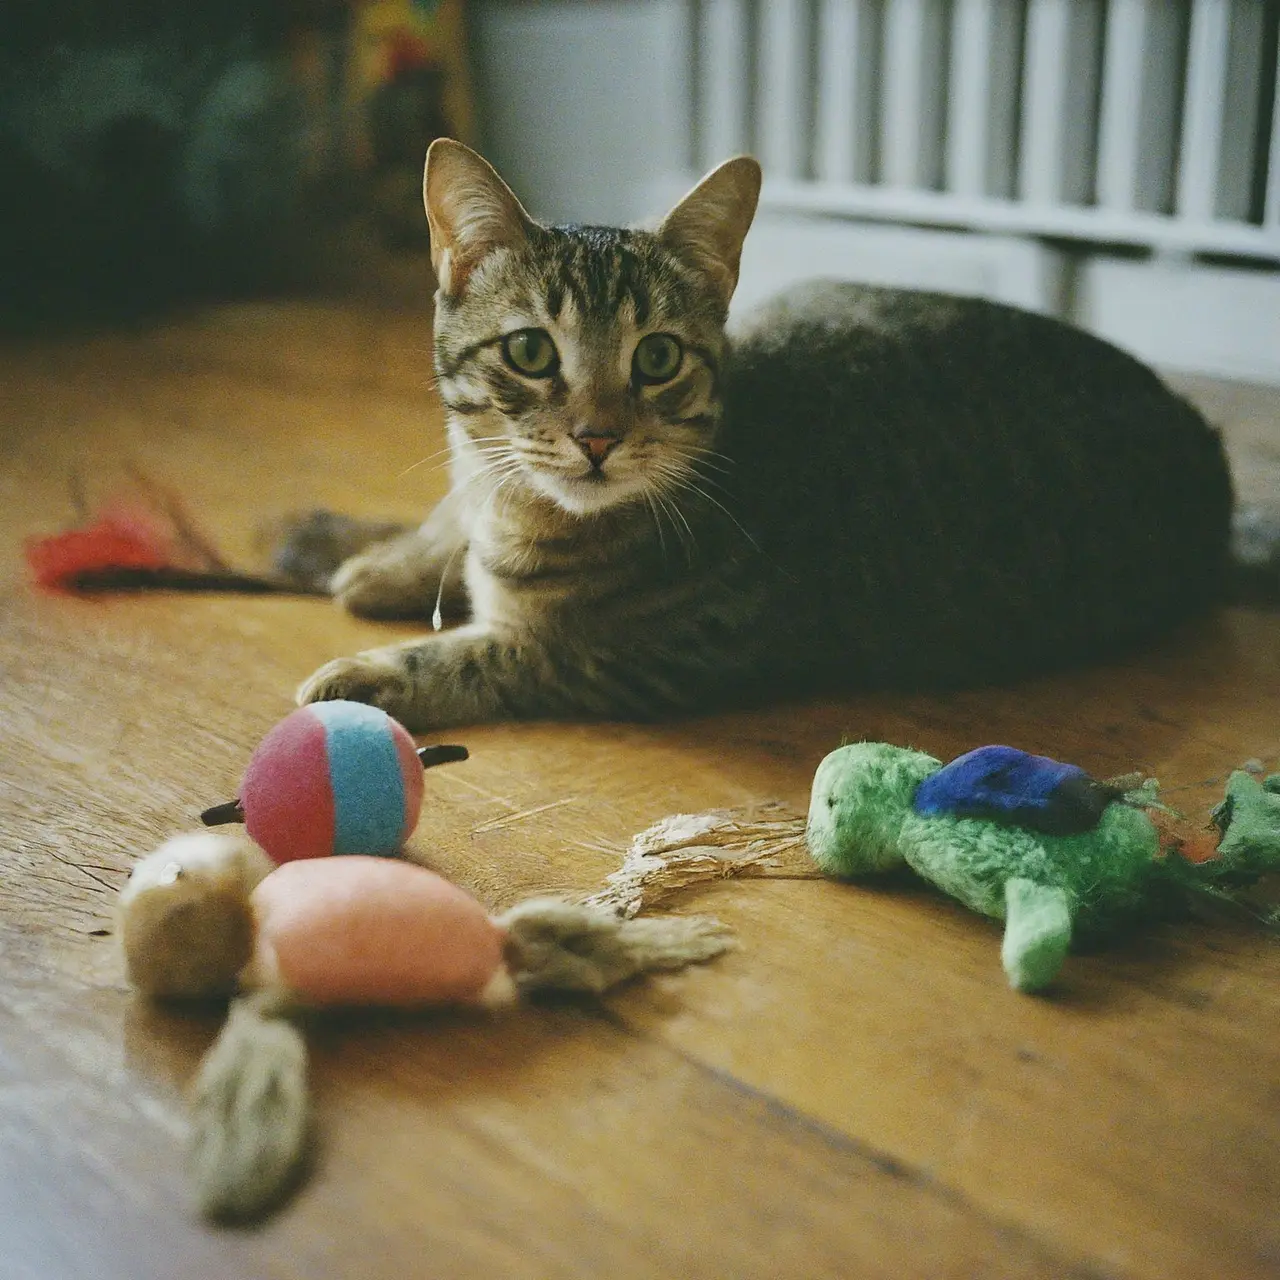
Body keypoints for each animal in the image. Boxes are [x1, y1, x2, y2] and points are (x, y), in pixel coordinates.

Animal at [294, 140, 1233, 732]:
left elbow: (480, 656)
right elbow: (448, 515)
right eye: (531, 351)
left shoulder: (636, 657)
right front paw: (386, 562)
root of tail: (1202, 438)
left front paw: (366, 674)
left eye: (657, 357)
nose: (597, 438)